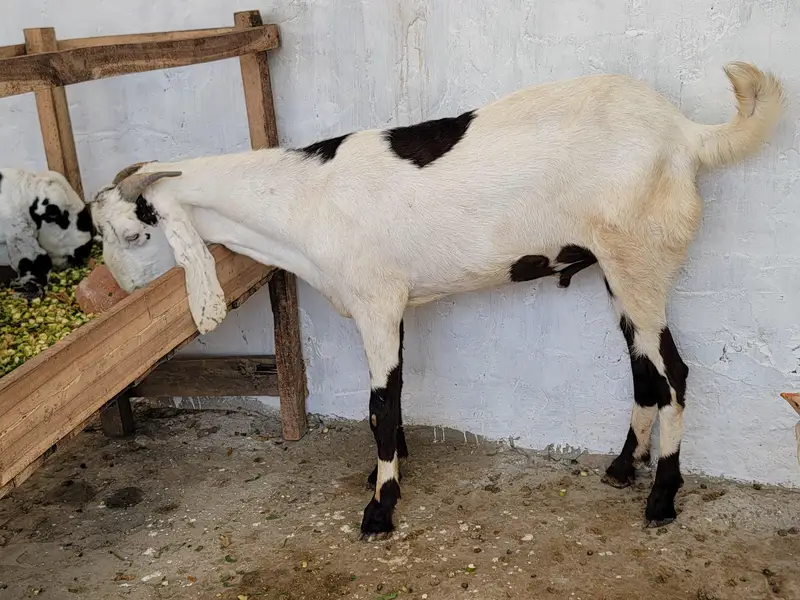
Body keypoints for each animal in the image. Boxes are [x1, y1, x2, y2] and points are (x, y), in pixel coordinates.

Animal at [88, 62, 783, 537]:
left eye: (136, 233)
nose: (101, 299)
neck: (303, 200)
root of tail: (687, 135)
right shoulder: (394, 305)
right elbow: (389, 405)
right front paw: (383, 474)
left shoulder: (376, 301)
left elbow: (381, 407)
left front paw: (379, 508)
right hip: (620, 270)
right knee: (647, 373)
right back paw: (621, 467)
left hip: (640, 259)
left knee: (674, 374)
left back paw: (662, 499)